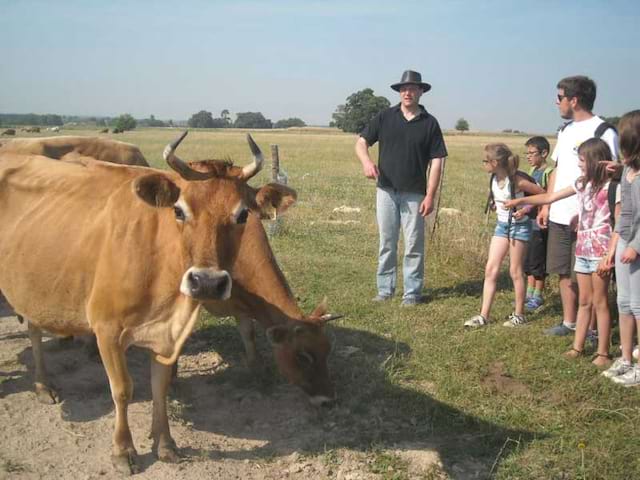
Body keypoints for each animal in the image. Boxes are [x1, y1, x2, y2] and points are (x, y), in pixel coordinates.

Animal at [0, 133, 310, 474]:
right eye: (179, 210)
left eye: (243, 215)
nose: (207, 282)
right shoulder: (107, 330)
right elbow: (122, 389)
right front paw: (123, 450)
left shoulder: (168, 334)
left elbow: (159, 386)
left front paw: (165, 443)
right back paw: (43, 386)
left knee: (33, 327)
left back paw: (42, 384)